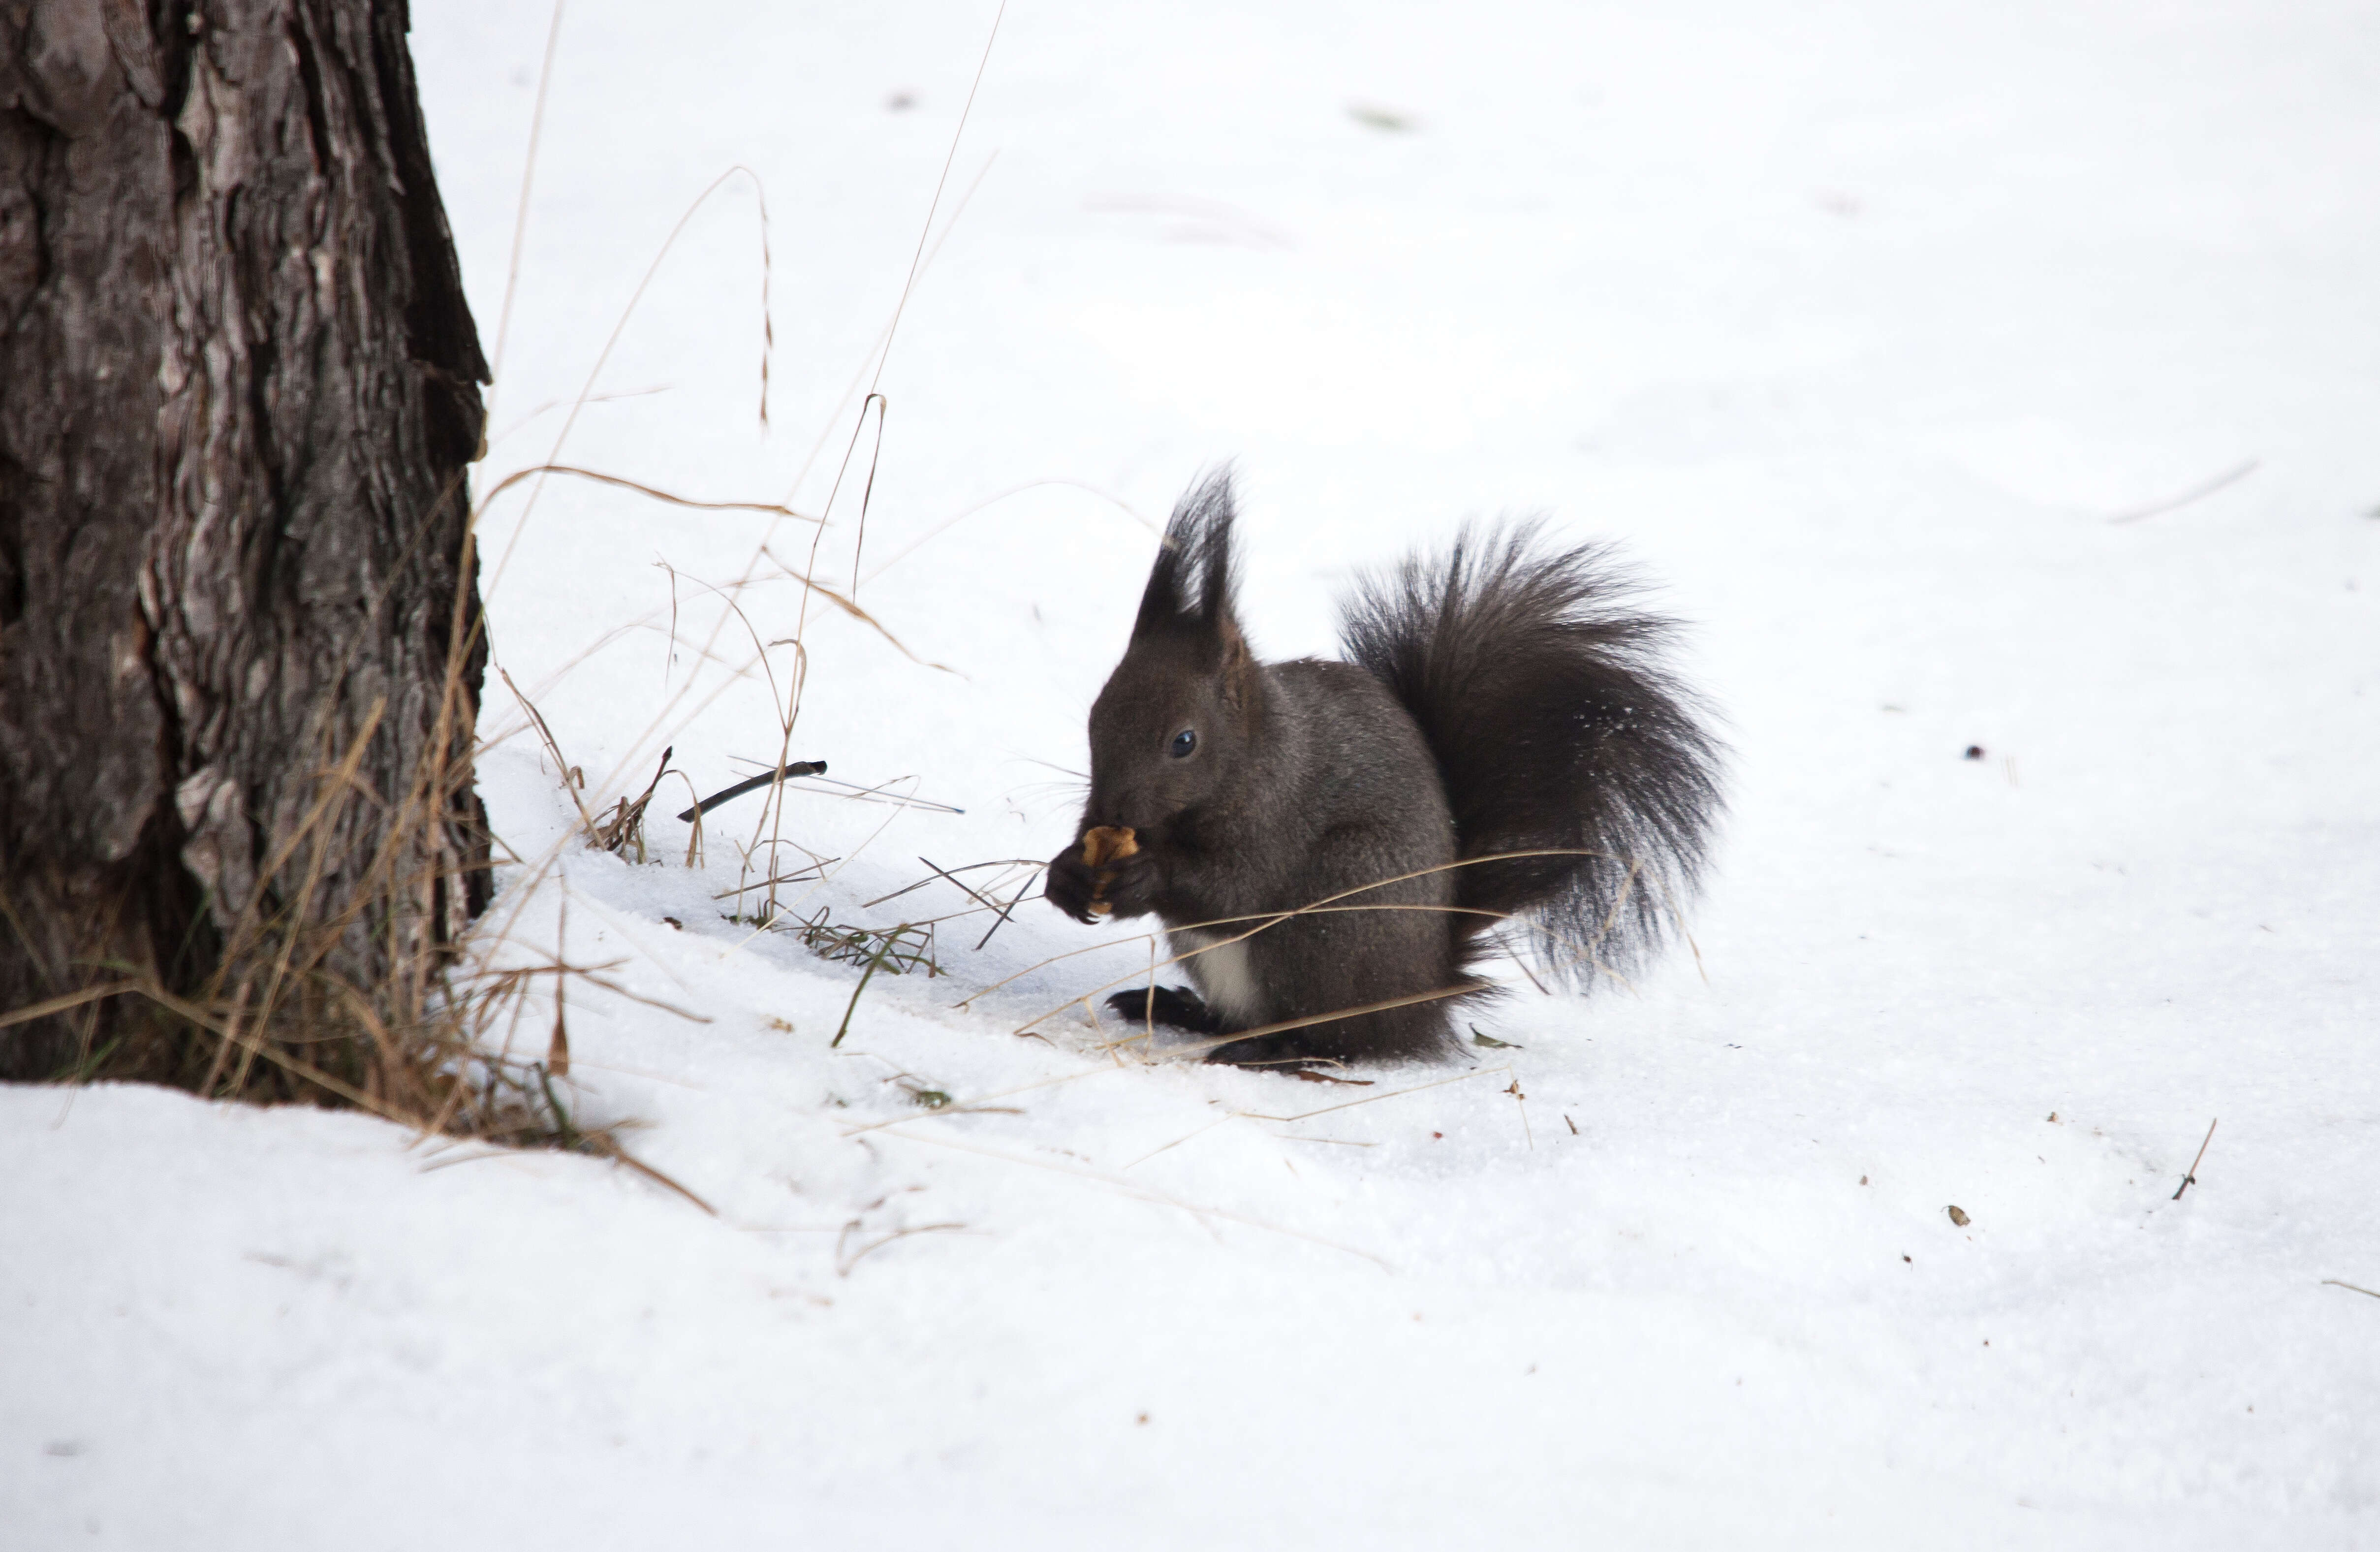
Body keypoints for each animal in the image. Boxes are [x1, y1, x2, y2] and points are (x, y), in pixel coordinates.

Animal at [1052, 466, 1723, 1061]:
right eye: (1095, 717)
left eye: (1184, 742)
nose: (1112, 809)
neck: (1255, 754)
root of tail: (1421, 993)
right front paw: (1064, 874)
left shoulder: (1280, 812)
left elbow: (1239, 888)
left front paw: (1146, 875)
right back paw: (1184, 1010)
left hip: (1340, 904)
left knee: (1347, 1042)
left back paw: (1275, 1052)